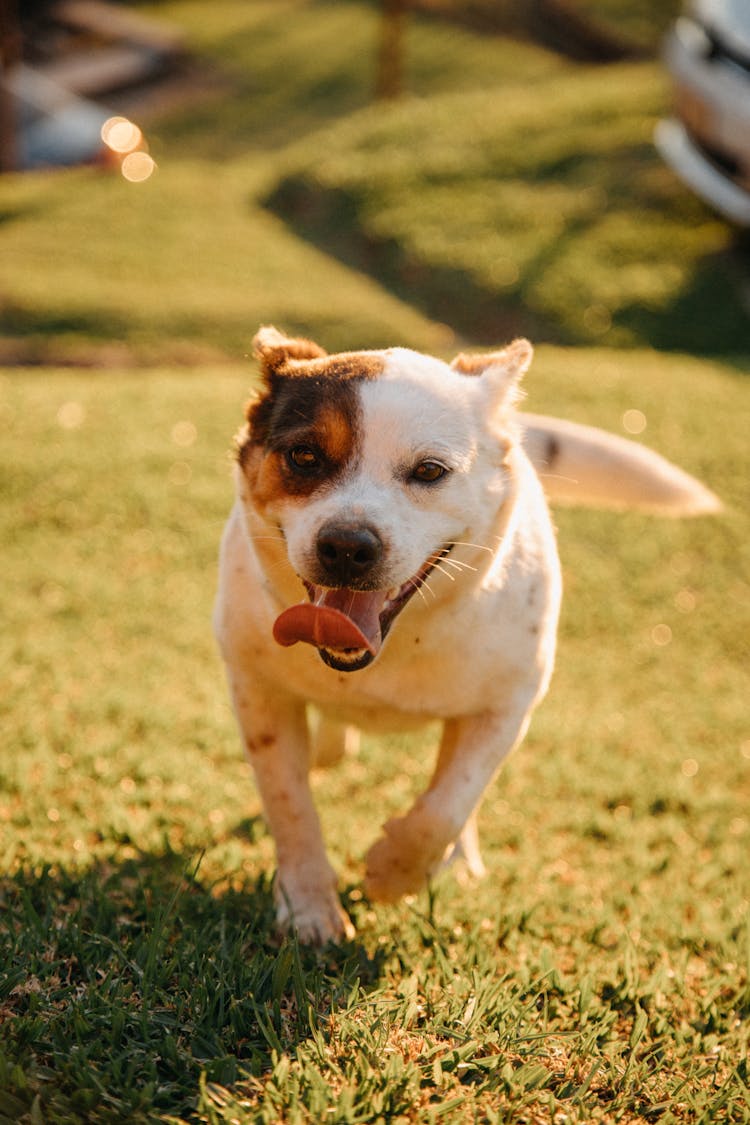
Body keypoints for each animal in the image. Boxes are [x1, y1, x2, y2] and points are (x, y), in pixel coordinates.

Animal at [213, 328, 719, 945]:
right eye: (304, 456)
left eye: (430, 471)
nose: (348, 546)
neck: (394, 644)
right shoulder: (258, 691)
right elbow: (290, 806)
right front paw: (310, 912)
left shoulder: (505, 706)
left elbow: (447, 806)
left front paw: (393, 872)